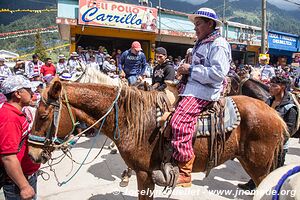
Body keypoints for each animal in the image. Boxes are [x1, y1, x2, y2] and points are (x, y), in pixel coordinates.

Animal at [28, 78, 286, 200]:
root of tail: (275, 114)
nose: (32, 152)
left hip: (259, 166)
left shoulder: (144, 173)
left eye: (43, 115)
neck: (134, 119)